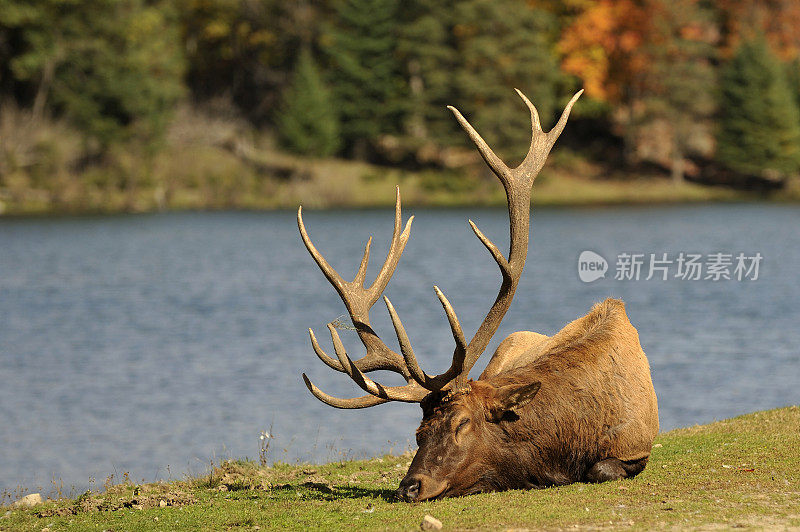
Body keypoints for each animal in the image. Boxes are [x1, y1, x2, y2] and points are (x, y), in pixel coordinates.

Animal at [296, 89, 660, 500]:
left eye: (462, 423)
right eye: (418, 433)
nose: (409, 487)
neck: (566, 443)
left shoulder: (637, 448)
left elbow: (600, 469)